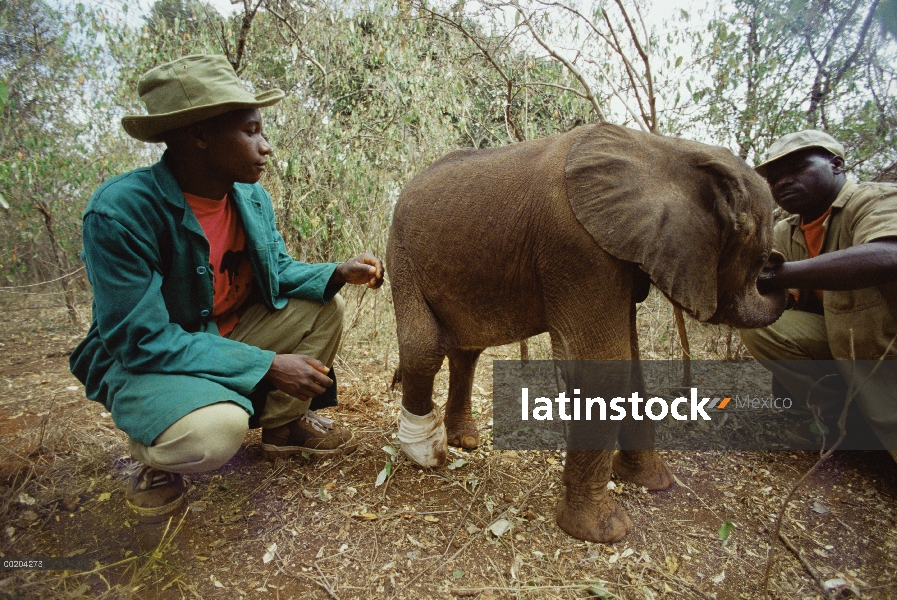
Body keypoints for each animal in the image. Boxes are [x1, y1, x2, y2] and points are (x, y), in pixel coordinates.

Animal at [384, 123, 784, 544]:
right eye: (760, 257)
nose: (778, 266)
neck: (664, 151)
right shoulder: (578, 246)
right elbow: (605, 366)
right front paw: (604, 531)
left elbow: (630, 362)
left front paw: (655, 483)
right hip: (401, 252)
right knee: (423, 347)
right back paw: (425, 451)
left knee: (466, 348)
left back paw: (464, 441)